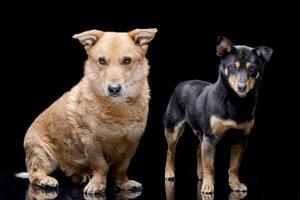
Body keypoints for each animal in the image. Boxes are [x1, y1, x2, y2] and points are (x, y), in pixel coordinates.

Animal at [22, 28, 157, 194]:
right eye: (102, 61)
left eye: (127, 60)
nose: (114, 89)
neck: (117, 108)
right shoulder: (91, 142)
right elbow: (100, 166)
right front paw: (97, 184)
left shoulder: (132, 142)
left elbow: (122, 168)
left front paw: (123, 183)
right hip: (41, 153)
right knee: (34, 174)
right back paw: (47, 180)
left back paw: (81, 176)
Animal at [163, 36, 274, 193]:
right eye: (233, 67)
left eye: (252, 69)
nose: (242, 87)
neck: (235, 102)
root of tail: (181, 83)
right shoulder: (211, 138)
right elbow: (210, 165)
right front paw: (208, 185)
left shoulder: (240, 139)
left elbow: (234, 166)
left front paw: (235, 184)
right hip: (173, 129)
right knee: (170, 151)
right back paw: (169, 173)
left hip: (201, 134)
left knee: (198, 150)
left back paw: (200, 174)